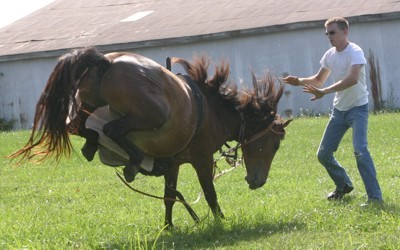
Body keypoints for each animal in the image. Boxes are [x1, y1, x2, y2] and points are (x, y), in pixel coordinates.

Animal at [10, 47, 290, 227]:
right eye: (275, 144)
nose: (257, 181)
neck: (213, 110)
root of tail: (106, 62)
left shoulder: (174, 164)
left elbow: (169, 196)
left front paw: (169, 226)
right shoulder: (201, 159)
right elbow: (210, 194)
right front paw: (221, 221)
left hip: (88, 101)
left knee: (75, 126)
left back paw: (91, 144)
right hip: (153, 113)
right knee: (111, 129)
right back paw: (131, 159)